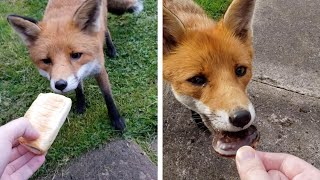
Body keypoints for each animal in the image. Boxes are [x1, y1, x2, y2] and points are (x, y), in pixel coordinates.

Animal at [6, 0, 144, 131]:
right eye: (46, 60)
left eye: (76, 55)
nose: (60, 85)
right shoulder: (76, 77)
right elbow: (78, 88)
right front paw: (81, 105)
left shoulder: (99, 69)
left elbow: (108, 96)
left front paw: (116, 119)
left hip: (102, 19)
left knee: (106, 30)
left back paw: (111, 49)